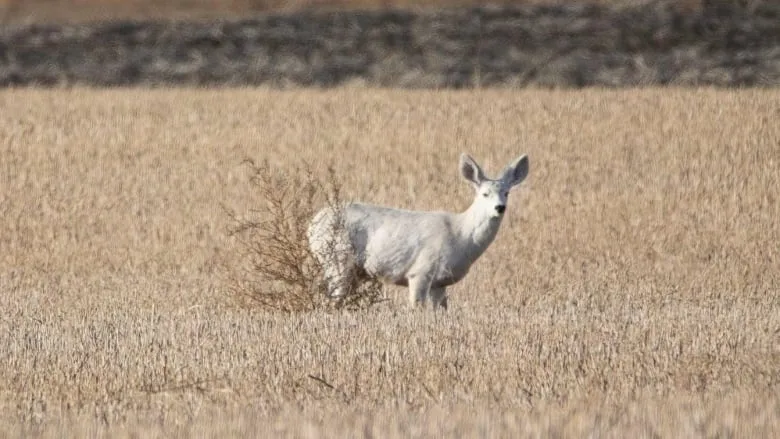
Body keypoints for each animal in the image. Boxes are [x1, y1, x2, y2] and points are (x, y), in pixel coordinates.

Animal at [308, 154, 528, 310]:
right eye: (485, 194)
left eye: (507, 193)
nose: (500, 207)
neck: (461, 236)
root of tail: (312, 225)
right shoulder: (420, 270)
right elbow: (416, 307)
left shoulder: (440, 282)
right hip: (337, 259)